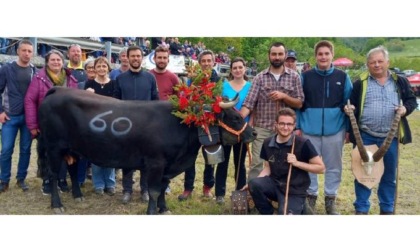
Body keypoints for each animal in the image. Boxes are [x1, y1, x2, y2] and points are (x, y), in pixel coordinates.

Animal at [37, 87, 256, 215]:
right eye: (235, 118)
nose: (253, 133)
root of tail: (59, 89)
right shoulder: (156, 162)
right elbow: (154, 189)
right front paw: (152, 211)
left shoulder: (168, 165)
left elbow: (163, 188)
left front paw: (163, 209)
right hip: (54, 147)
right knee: (54, 174)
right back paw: (57, 205)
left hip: (72, 148)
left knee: (73, 170)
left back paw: (77, 195)